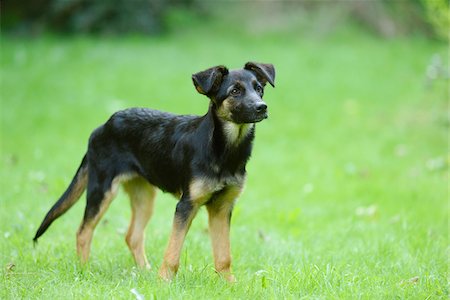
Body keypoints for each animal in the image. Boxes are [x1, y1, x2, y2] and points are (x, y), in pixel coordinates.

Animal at [32, 61, 274, 282]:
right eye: (234, 91)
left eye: (258, 89)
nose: (262, 107)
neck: (223, 150)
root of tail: (102, 127)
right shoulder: (187, 205)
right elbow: (173, 252)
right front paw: (165, 282)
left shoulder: (222, 207)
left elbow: (224, 256)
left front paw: (229, 284)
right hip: (102, 189)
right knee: (83, 231)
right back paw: (83, 271)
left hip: (144, 195)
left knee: (133, 236)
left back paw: (144, 272)